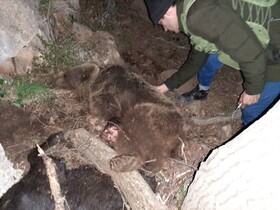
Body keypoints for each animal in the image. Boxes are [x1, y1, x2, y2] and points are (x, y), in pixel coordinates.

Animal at [55, 63, 185, 173]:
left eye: (65, 75)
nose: (55, 79)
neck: (97, 79)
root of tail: (181, 132)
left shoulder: (108, 92)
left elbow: (102, 107)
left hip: (154, 117)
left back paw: (123, 161)